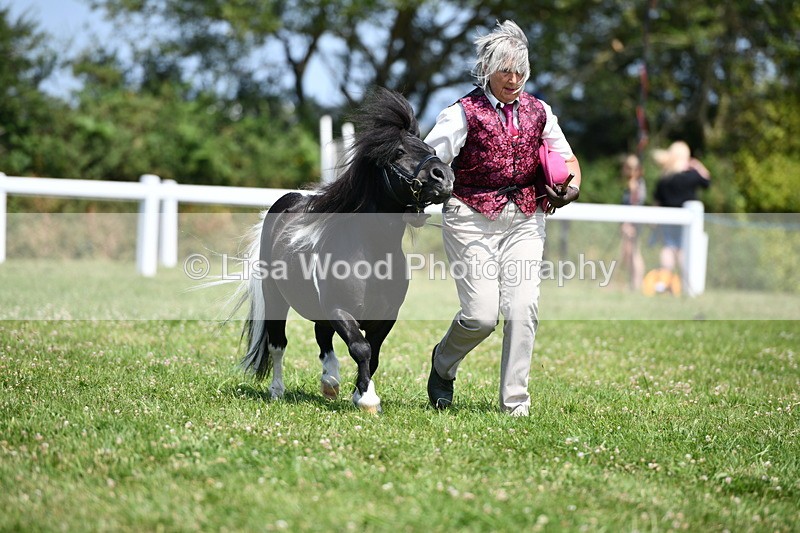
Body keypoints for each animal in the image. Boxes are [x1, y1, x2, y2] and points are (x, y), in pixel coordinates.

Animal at [233, 88, 454, 413]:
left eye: (428, 147)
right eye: (398, 152)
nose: (444, 176)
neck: (373, 256)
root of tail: (286, 202)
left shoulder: (386, 318)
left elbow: (373, 355)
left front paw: (360, 393)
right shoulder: (339, 309)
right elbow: (360, 348)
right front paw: (368, 400)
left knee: (322, 337)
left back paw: (330, 382)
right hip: (275, 297)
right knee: (278, 344)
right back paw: (277, 390)